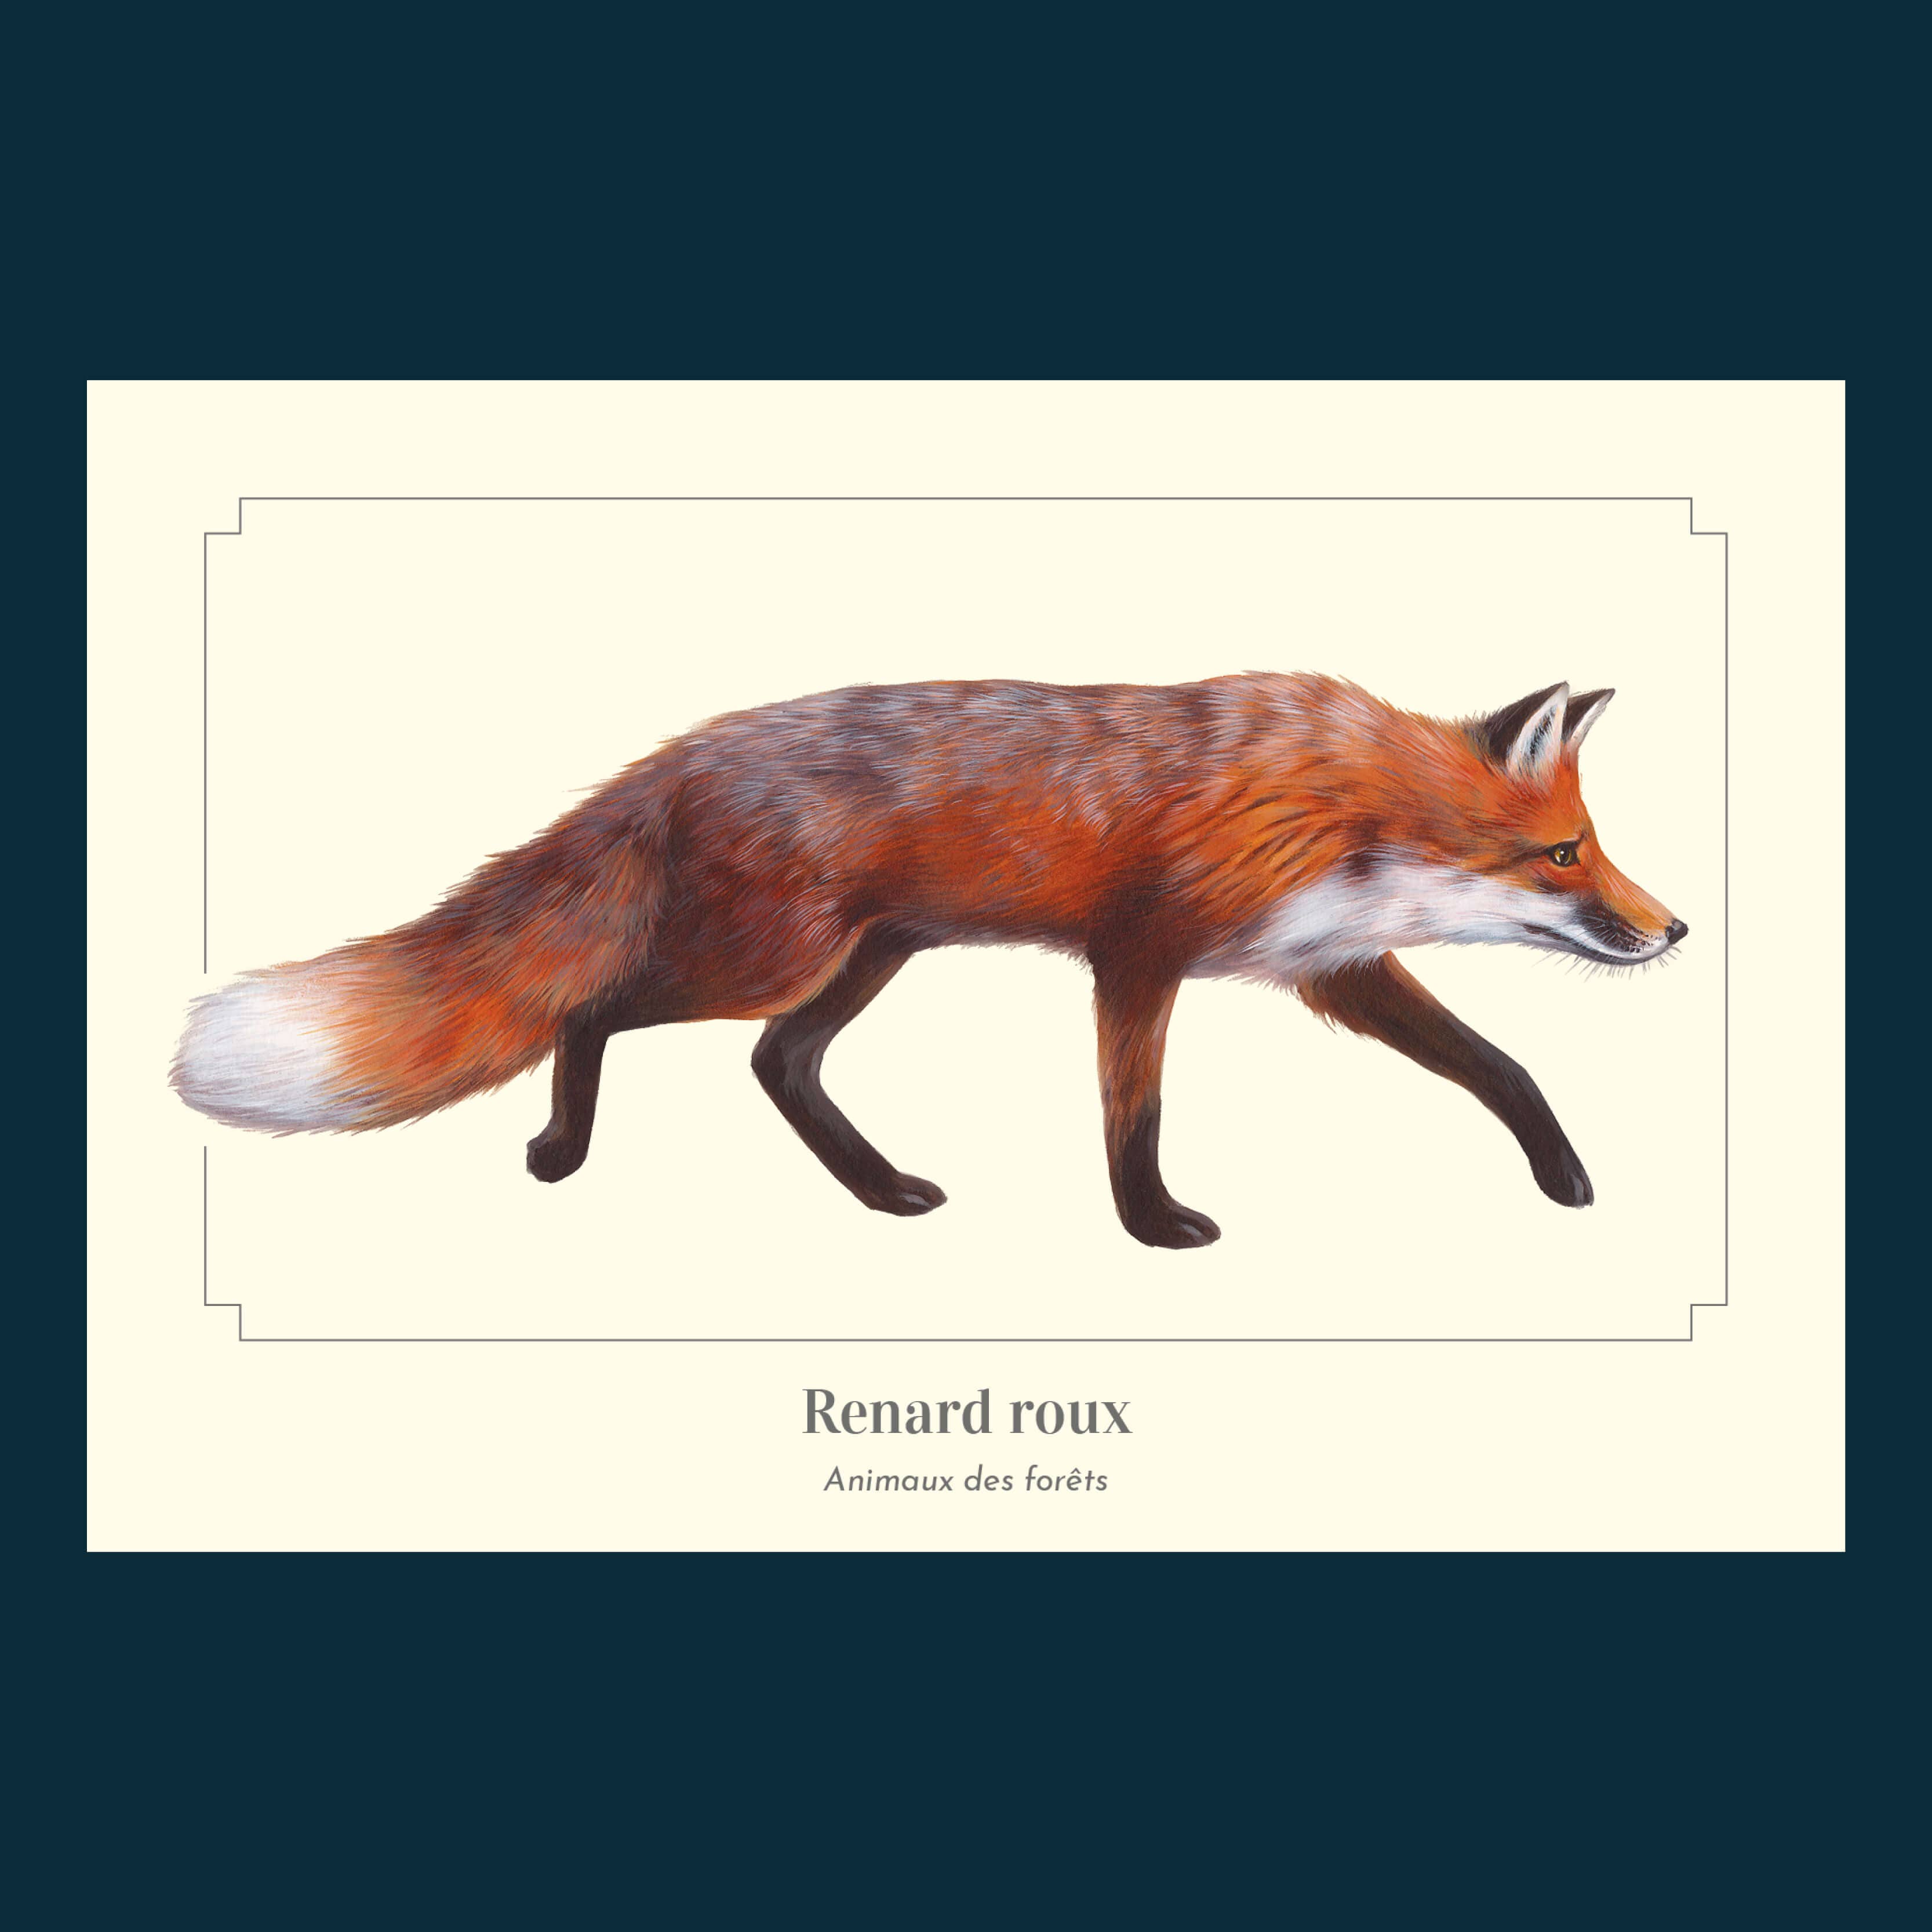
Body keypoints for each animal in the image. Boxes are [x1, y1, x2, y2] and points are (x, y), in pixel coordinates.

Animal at [174, 673, 1685, 1247]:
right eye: (1565, 855)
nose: (1673, 929)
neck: (1336, 803)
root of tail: (680, 750)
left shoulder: (1333, 963)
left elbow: (1501, 1068)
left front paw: (1564, 1177)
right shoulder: (1139, 953)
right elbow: (1131, 1117)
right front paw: (1151, 1226)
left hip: (858, 960)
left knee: (777, 1066)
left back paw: (882, 1190)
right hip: (769, 954)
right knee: (594, 1008)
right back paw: (561, 1151)